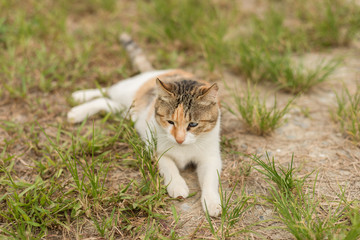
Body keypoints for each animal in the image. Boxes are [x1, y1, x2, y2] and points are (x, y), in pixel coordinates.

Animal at [66, 34, 221, 218]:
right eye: (170, 122)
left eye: (193, 124)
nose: (179, 139)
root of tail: (157, 72)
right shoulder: (154, 148)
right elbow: (169, 166)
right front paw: (178, 186)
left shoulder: (211, 157)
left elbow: (210, 179)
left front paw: (212, 203)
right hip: (124, 92)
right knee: (106, 90)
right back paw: (79, 100)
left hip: (125, 111)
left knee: (106, 101)